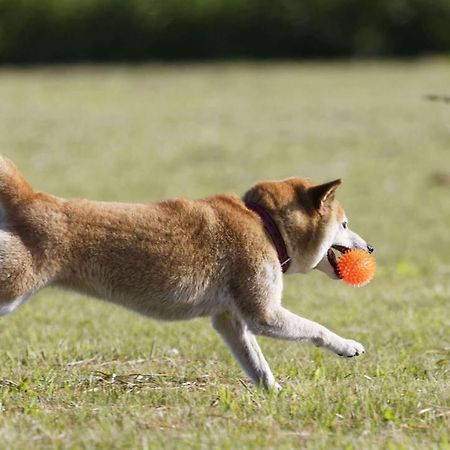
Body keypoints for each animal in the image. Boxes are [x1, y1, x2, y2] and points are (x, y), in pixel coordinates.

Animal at [0, 157, 372, 390]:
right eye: (345, 224)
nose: (370, 249)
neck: (265, 223)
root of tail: (32, 199)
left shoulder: (229, 320)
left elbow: (257, 364)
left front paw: (276, 394)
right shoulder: (263, 313)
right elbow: (317, 329)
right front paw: (347, 345)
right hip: (13, 286)